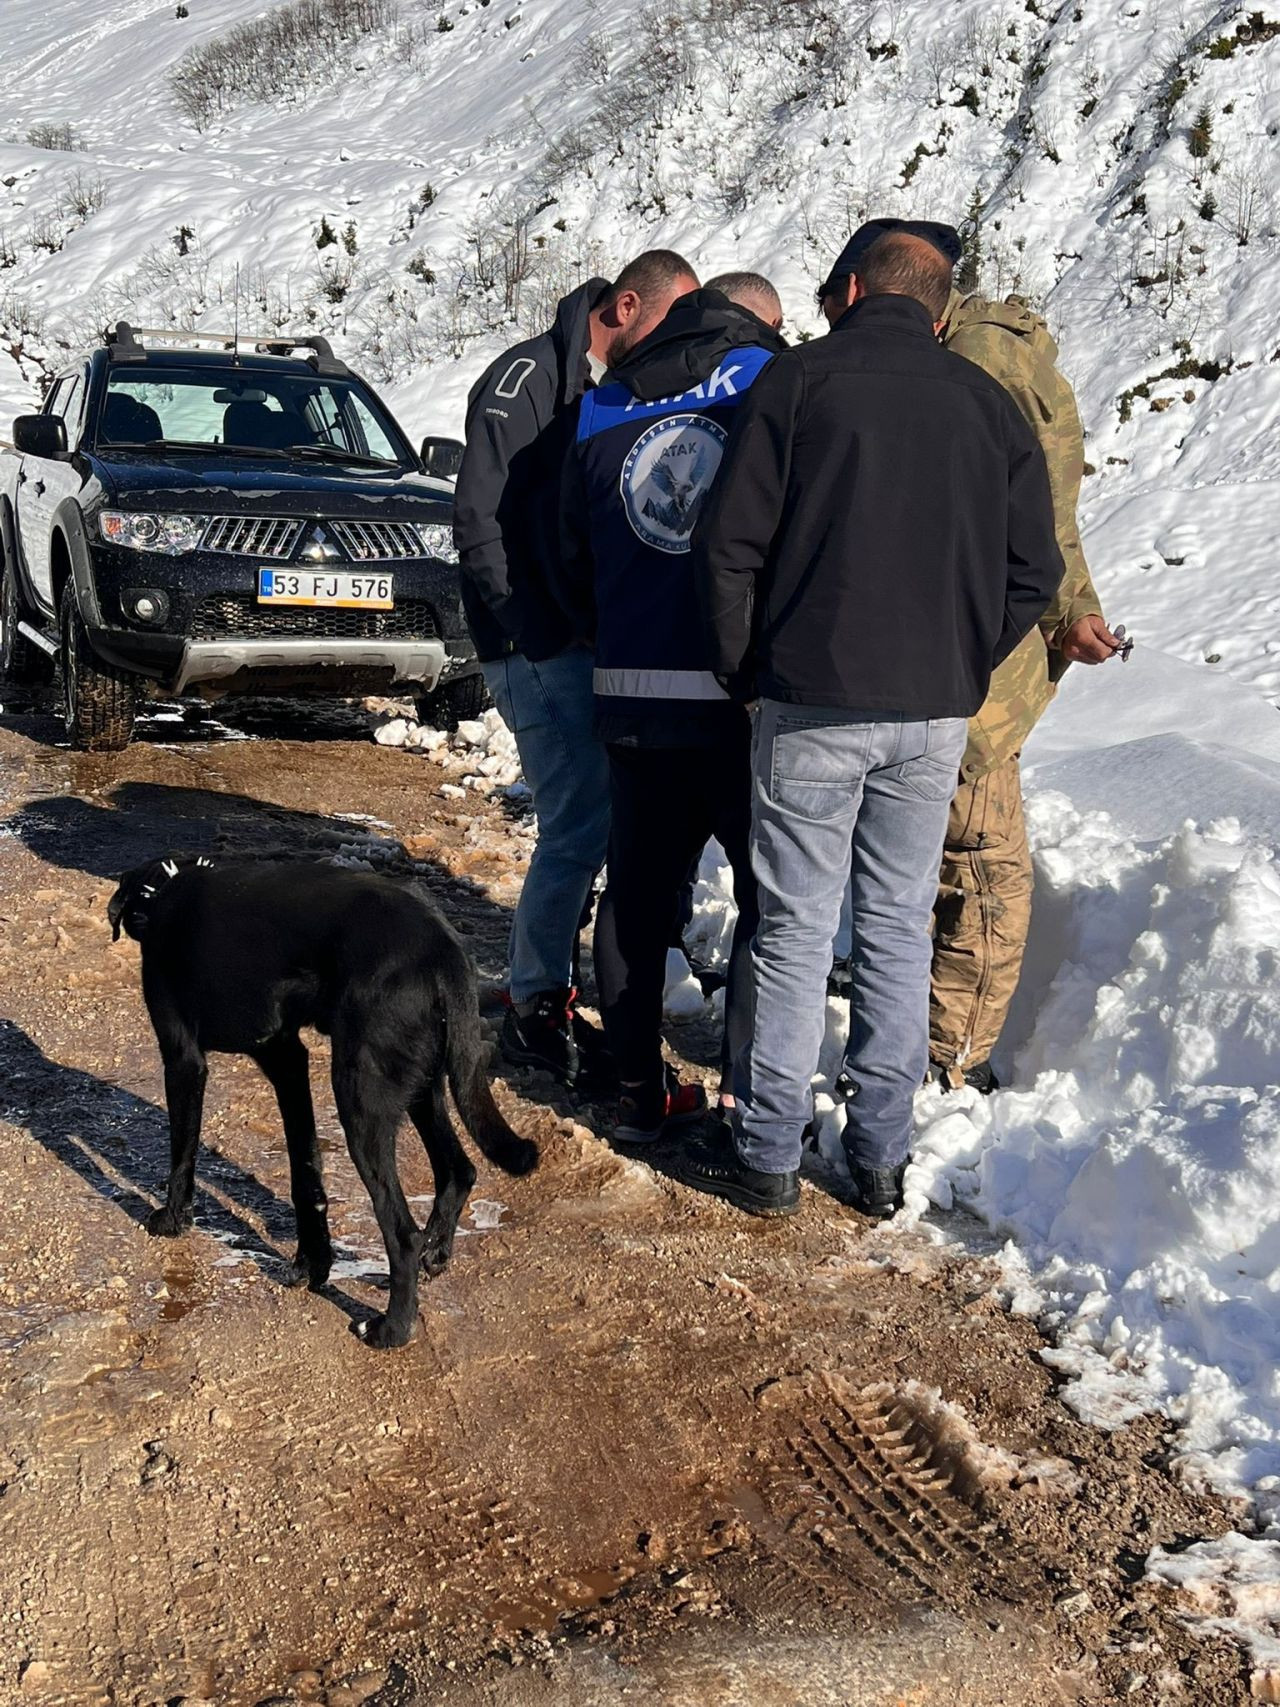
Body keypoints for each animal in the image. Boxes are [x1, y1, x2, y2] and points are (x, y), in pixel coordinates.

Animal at [105, 853, 535, 1345]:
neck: (164, 890)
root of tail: (443, 950)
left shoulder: (183, 1059)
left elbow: (182, 1154)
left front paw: (172, 1220)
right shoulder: (286, 1060)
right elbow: (305, 1170)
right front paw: (311, 1264)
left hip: (360, 1098)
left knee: (401, 1231)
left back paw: (391, 1328)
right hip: (420, 1088)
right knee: (459, 1170)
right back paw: (436, 1252)